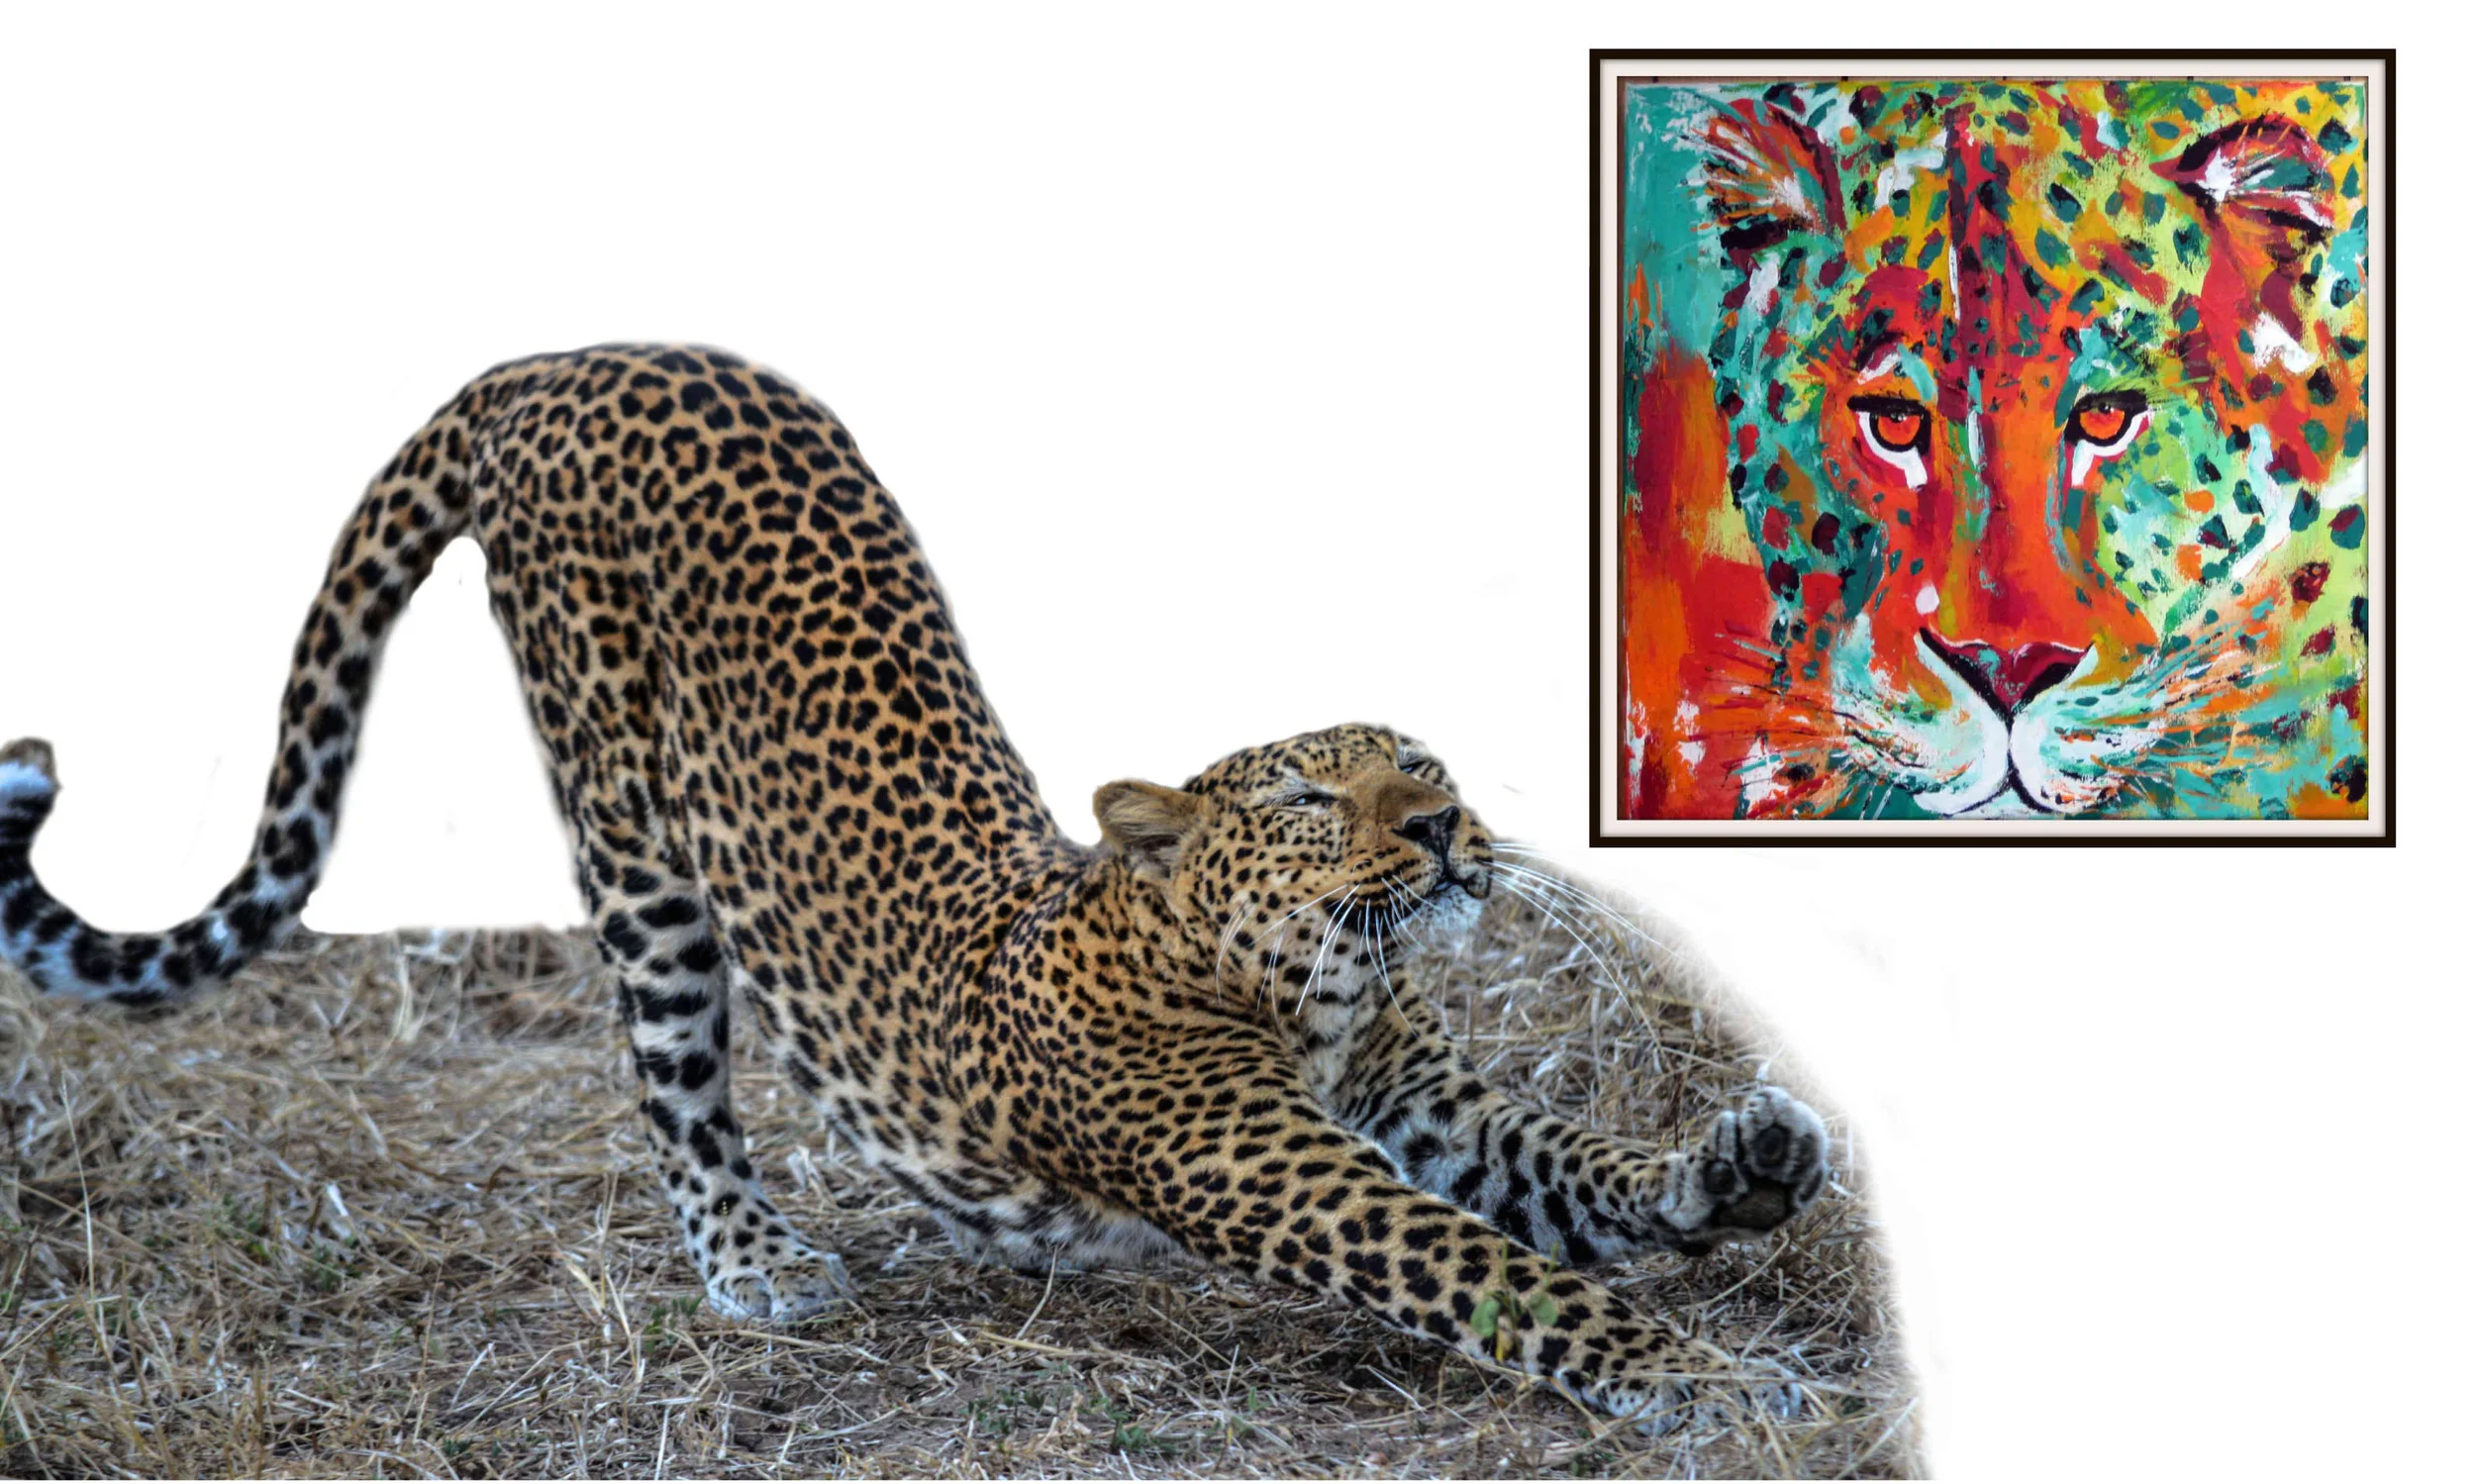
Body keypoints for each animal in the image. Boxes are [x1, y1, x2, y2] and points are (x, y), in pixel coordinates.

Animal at [0, 344, 1829, 1424]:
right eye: (1317, 792)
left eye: (1423, 758)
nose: (1445, 825)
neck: (1314, 992)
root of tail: (572, 355)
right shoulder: (1285, 1166)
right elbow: (1506, 1274)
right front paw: (1712, 1380)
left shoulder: (1429, 1106)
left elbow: (1583, 1165)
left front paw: (1747, 1159)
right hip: (639, 847)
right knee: (673, 1083)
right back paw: (757, 1261)